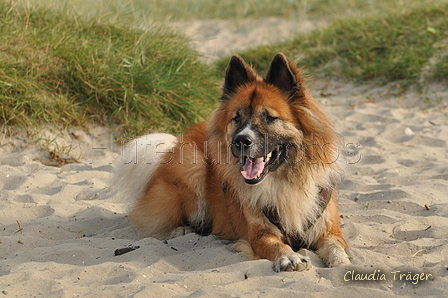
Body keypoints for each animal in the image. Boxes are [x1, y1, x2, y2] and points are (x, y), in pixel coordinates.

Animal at [112, 52, 350, 272]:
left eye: (269, 118)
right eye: (237, 118)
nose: (241, 140)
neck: (285, 179)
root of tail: (176, 143)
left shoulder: (329, 230)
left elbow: (337, 248)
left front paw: (343, 264)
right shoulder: (260, 234)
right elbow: (278, 246)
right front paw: (289, 257)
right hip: (193, 166)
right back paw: (182, 230)